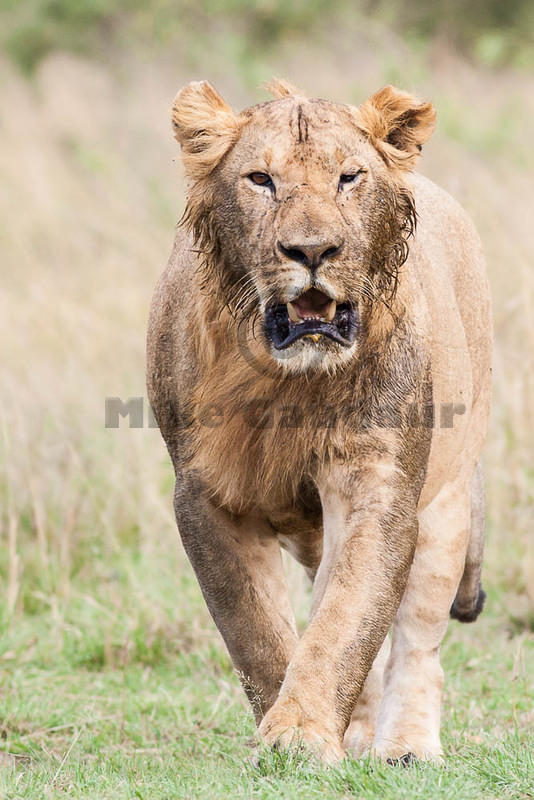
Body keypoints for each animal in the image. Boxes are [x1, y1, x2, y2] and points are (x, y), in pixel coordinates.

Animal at [147, 79, 494, 764]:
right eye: (261, 179)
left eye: (348, 177)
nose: (312, 251)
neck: (290, 382)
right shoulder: (205, 495)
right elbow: (258, 634)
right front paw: (293, 737)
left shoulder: (377, 483)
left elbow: (343, 619)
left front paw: (300, 735)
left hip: (445, 507)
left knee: (416, 643)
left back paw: (405, 747)